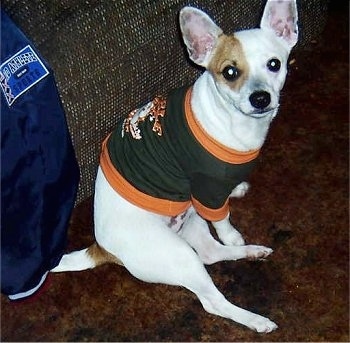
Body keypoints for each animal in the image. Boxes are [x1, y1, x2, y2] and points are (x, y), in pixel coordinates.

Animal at [52, 0, 298, 334]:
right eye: (229, 72)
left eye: (274, 64)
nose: (260, 98)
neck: (236, 123)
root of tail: (102, 248)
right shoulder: (206, 187)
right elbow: (223, 219)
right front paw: (233, 233)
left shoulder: (207, 194)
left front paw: (236, 190)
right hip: (179, 255)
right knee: (213, 300)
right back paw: (255, 319)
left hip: (189, 222)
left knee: (211, 254)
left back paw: (253, 252)